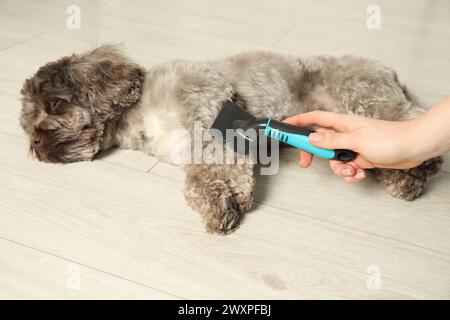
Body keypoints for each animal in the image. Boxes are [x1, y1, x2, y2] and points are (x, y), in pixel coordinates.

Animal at [19, 45, 442, 234]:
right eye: (26, 125)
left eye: (56, 104)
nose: (36, 143)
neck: (136, 111)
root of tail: (388, 70)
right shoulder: (187, 145)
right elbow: (200, 176)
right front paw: (218, 202)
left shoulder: (208, 106)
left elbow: (213, 167)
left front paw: (224, 203)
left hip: (362, 99)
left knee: (407, 122)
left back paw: (417, 170)